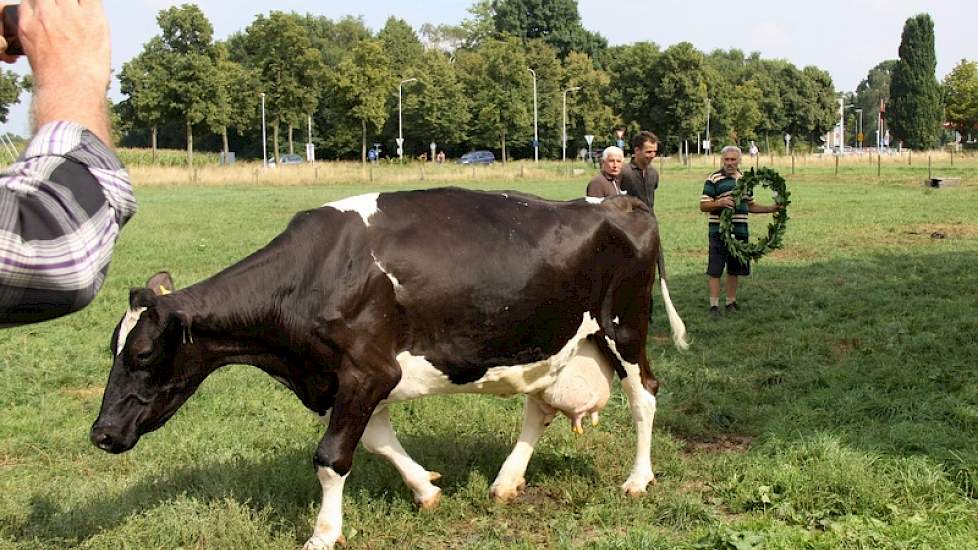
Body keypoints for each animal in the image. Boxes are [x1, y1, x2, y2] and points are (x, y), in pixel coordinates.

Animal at [91, 188, 688, 548]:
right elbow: (378, 443)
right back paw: (505, 483)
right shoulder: (346, 379)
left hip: (623, 328)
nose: (100, 434)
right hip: (554, 342)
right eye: (110, 349)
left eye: (141, 354)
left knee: (645, 395)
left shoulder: (368, 370)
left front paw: (323, 533)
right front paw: (426, 489)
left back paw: (638, 479)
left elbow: (331, 457)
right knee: (538, 408)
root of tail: (620, 200)